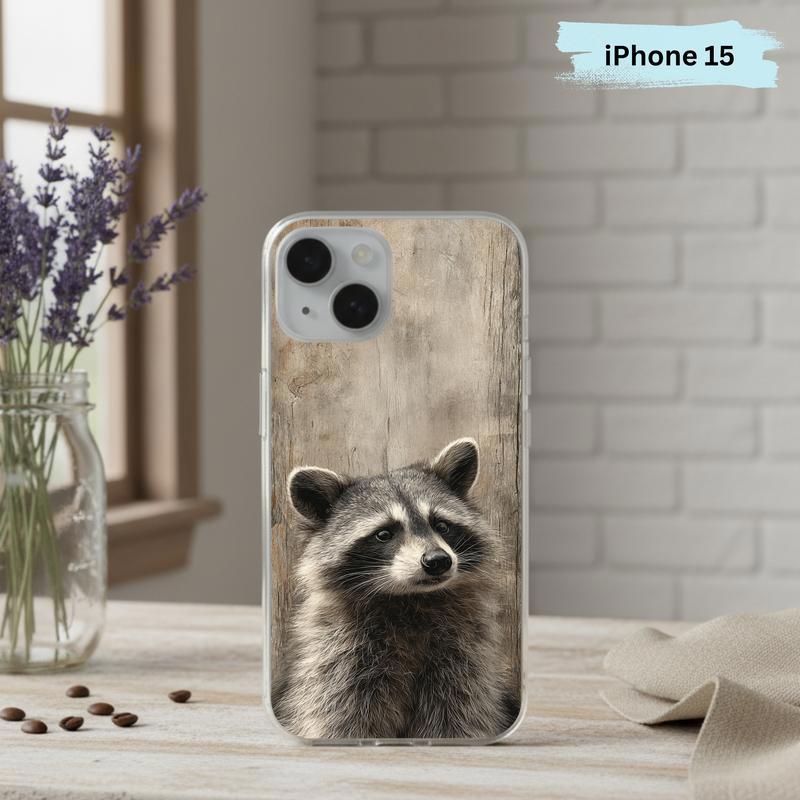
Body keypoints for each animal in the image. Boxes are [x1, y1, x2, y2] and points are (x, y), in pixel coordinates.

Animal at [272, 437, 519, 741]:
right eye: (384, 534)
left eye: (442, 525)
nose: (438, 561)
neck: (411, 600)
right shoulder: (339, 659)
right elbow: (339, 717)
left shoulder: (465, 656)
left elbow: (460, 714)